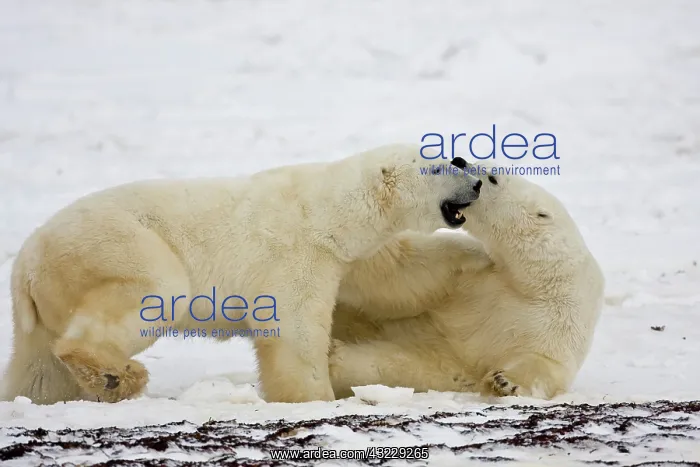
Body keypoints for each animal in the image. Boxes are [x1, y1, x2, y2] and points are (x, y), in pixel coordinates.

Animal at [0, 144, 483, 405]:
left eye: (452, 160)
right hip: (114, 246)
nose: (477, 180)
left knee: (38, 369)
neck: (325, 211)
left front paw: (480, 255)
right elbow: (294, 332)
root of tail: (25, 264)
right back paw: (117, 376)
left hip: (43, 311)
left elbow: (398, 271)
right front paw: (314, 398)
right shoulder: (295, 255)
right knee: (156, 289)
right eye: (440, 166)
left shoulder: (347, 256)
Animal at [329, 168, 605, 400]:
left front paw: (505, 381)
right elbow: (401, 280)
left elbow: (547, 362)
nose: (459, 160)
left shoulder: (561, 318)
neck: (537, 280)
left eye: (493, 177)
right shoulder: (469, 277)